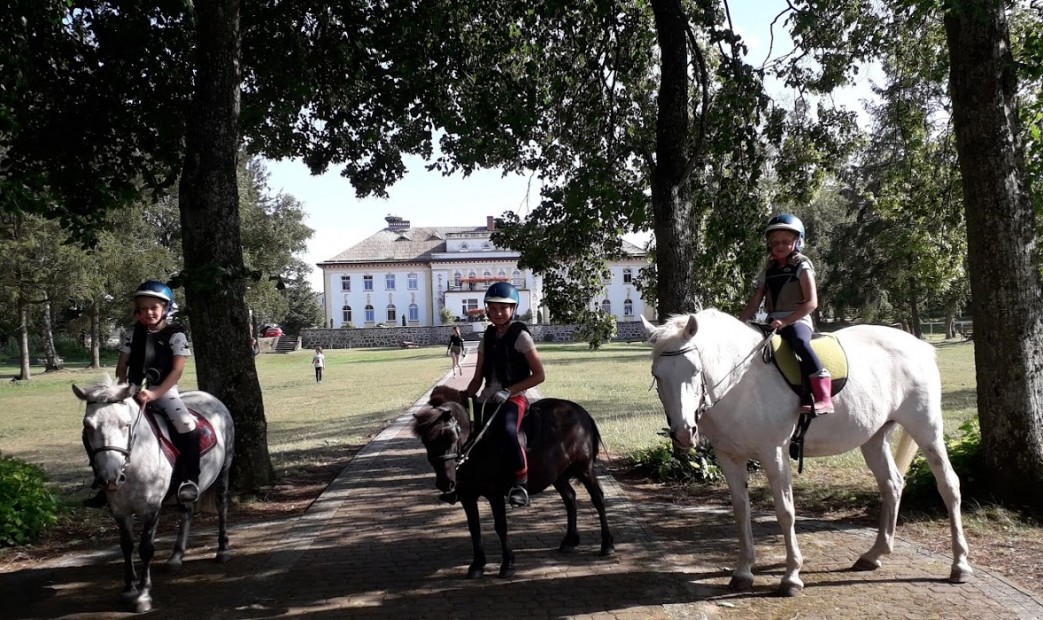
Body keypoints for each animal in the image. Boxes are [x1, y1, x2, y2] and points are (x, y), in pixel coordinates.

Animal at [73, 375, 234, 609]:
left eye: (126, 424)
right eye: (88, 425)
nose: (110, 477)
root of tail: (210, 397)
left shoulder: (151, 508)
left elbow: (146, 548)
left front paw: (143, 594)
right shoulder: (120, 511)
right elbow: (127, 546)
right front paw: (129, 589)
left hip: (224, 469)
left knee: (222, 506)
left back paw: (222, 550)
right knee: (187, 512)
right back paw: (176, 557)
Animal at [410, 384, 613, 576]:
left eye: (451, 437)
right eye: (426, 441)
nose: (445, 483)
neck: (477, 446)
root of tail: (580, 411)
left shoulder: (494, 494)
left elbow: (500, 525)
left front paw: (507, 563)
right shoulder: (467, 496)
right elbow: (474, 527)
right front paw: (477, 565)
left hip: (584, 468)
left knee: (598, 498)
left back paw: (607, 544)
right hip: (558, 474)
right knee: (570, 498)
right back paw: (570, 540)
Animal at [638, 311, 972, 597]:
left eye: (695, 371)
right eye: (657, 374)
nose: (684, 432)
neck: (742, 382)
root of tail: (919, 346)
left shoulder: (774, 454)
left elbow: (785, 512)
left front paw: (791, 577)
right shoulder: (730, 457)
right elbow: (741, 511)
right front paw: (744, 572)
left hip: (926, 430)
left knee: (949, 486)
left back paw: (960, 565)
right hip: (874, 438)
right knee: (892, 485)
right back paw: (874, 555)